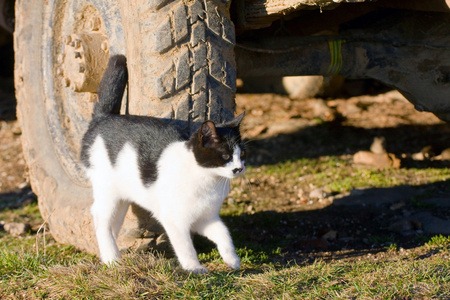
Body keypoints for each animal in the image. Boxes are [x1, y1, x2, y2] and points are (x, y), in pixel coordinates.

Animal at [80, 54, 246, 274]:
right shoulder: (175, 219)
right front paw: (193, 267)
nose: (239, 168)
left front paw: (232, 259)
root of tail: (103, 118)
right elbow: (185, 246)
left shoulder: (206, 218)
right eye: (226, 156)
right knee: (100, 218)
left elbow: (223, 234)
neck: (208, 180)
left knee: (111, 223)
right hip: (107, 191)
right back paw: (111, 258)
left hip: (121, 199)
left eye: (242, 154)